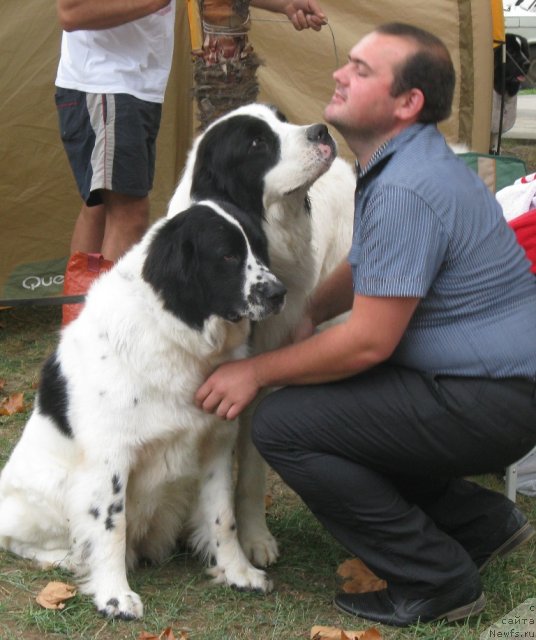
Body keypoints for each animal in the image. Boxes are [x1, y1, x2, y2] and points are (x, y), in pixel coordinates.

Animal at [0, 201, 284, 620]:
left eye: (259, 248)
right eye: (227, 256)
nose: (280, 293)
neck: (175, 332)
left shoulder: (215, 444)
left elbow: (223, 517)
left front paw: (237, 572)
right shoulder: (110, 458)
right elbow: (110, 525)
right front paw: (114, 596)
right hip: (47, 489)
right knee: (18, 539)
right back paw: (67, 559)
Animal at [168, 102, 356, 568]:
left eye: (283, 119)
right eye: (256, 143)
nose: (322, 131)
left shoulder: (254, 386)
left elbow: (250, 476)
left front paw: (253, 539)